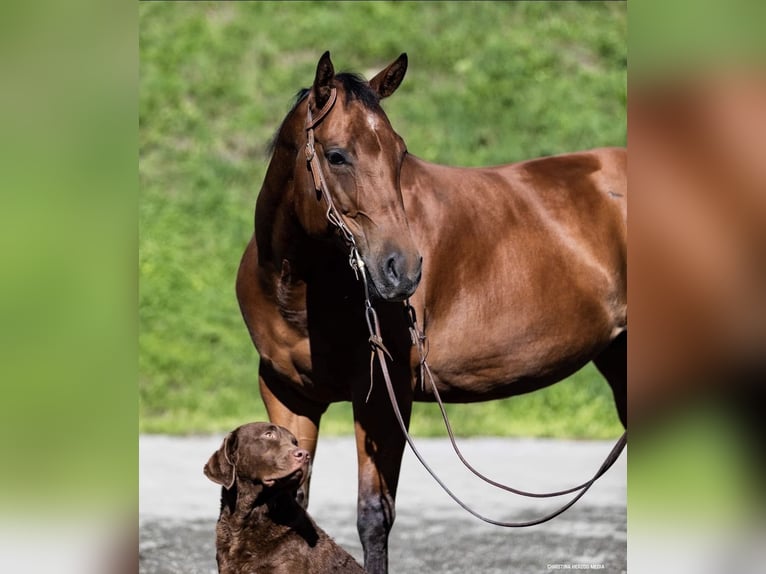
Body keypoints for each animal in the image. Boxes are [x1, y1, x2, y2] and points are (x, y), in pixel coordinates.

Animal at [236, 51, 626, 574]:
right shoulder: (288, 396)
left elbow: (374, 517)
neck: (302, 289)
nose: (401, 269)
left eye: (399, 153)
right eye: (337, 155)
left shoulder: (383, 398)